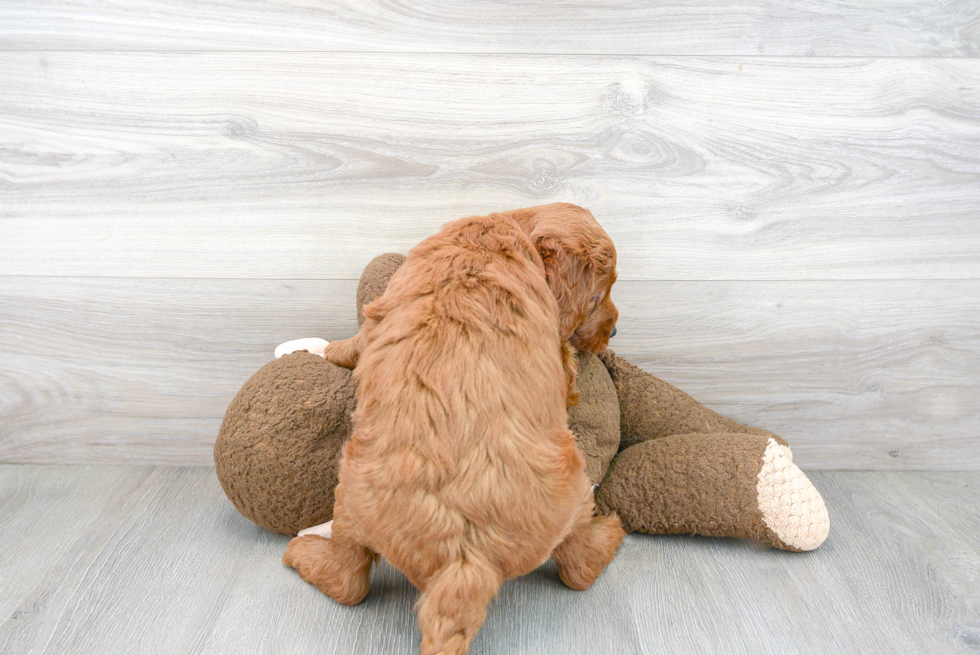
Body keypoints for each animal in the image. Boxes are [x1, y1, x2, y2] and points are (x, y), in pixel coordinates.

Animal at [284, 202, 624, 652]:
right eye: (599, 296)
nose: (615, 329)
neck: (507, 229)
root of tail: (463, 561)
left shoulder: (381, 311)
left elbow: (356, 342)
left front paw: (320, 349)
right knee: (577, 569)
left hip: (352, 493)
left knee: (349, 580)